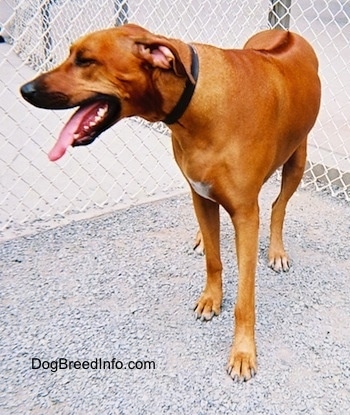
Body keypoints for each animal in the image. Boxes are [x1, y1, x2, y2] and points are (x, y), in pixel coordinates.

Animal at [19, 22, 320, 380]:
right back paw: (203, 238)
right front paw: (211, 297)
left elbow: (245, 298)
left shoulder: (246, 214)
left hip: (298, 159)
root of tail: (283, 31)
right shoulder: (199, 194)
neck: (196, 102)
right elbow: (214, 260)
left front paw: (243, 353)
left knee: (279, 206)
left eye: (85, 60)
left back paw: (276, 251)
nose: (26, 90)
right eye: (72, 55)